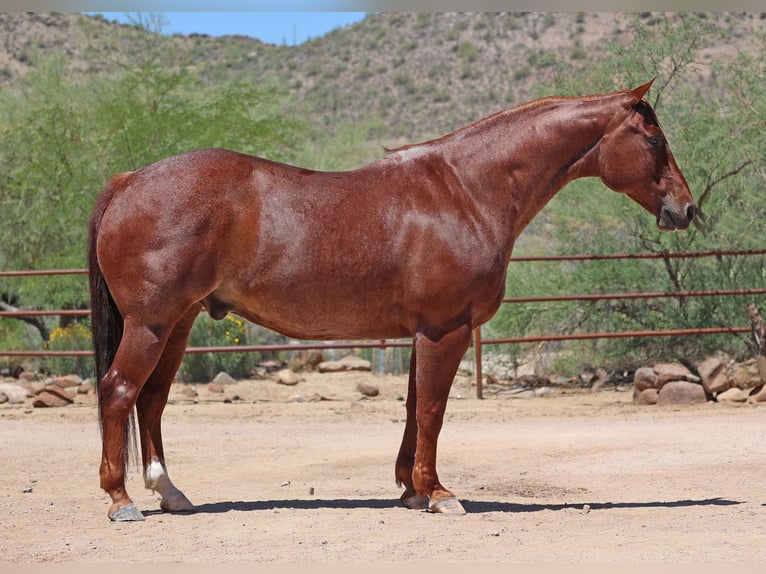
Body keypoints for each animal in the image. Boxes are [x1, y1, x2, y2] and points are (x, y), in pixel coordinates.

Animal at [88, 79, 695, 521]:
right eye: (655, 140)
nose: (686, 210)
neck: (467, 190)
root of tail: (129, 179)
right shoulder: (446, 330)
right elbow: (432, 410)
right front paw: (441, 494)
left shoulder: (423, 331)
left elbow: (412, 407)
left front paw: (411, 490)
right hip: (151, 323)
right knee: (119, 392)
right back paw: (122, 501)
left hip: (179, 322)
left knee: (152, 399)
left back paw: (171, 493)